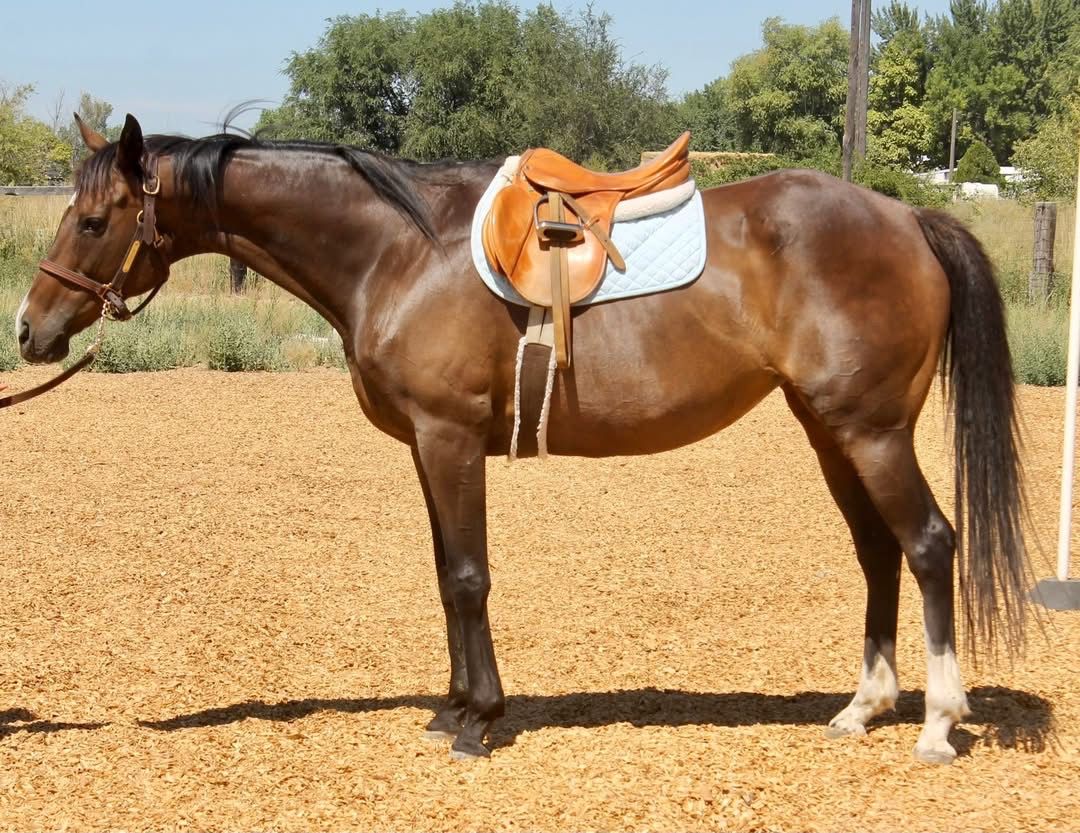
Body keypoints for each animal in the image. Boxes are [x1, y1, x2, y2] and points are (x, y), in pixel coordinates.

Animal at [14, 114, 1029, 764]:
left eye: (94, 219)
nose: (29, 330)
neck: (400, 251)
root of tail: (908, 218)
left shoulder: (449, 438)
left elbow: (468, 576)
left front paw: (479, 721)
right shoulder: (427, 447)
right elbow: (445, 578)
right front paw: (454, 707)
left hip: (872, 431)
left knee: (929, 543)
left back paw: (938, 724)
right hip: (831, 431)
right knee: (879, 553)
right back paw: (861, 709)